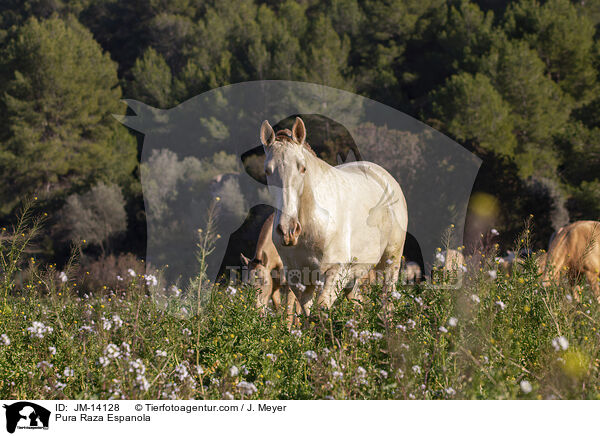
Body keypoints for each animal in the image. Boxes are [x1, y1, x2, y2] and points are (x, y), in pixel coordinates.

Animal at [258, 117, 408, 316]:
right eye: (267, 171)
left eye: (302, 168)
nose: (288, 230)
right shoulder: (297, 280)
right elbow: (307, 314)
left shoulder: (335, 271)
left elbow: (321, 310)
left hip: (390, 263)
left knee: (388, 300)